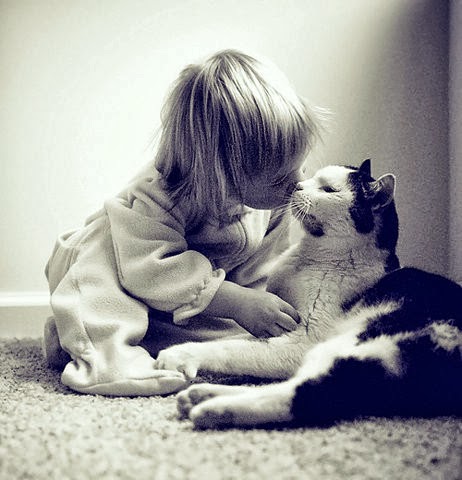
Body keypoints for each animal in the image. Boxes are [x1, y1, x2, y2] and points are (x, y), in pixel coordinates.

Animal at [156, 159, 462, 428]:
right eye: (313, 180)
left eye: (329, 189)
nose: (297, 185)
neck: (311, 256)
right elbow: (240, 339)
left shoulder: (303, 339)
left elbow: (234, 348)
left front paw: (181, 354)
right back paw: (201, 396)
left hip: (359, 342)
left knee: (309, 395)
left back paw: (212, 409)